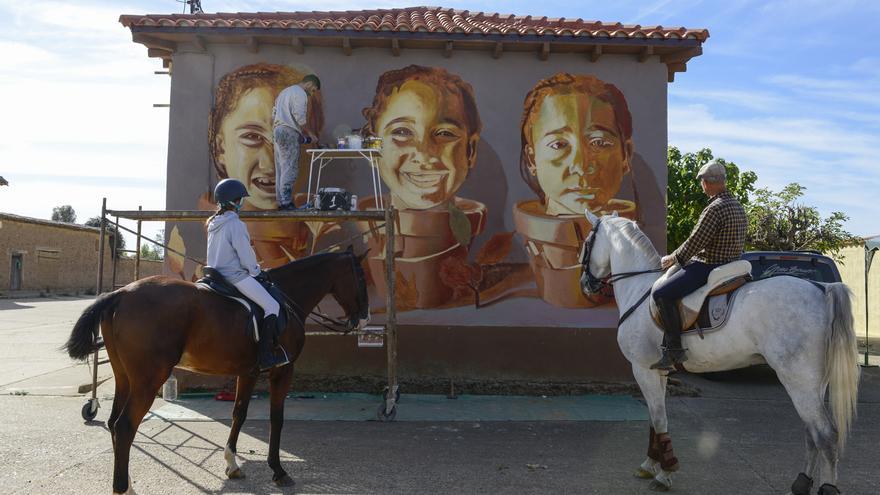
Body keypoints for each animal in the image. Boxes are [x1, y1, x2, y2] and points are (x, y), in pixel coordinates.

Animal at [66, 252, 368, 495]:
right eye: (362, 277)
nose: (362, 316)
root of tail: (121, 294)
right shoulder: (282, 370)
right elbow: (277, 418)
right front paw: (278, 471)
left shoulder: (248, 372)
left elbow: (239, 413)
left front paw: (232, 464)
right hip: (148, 380)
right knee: (125, 426)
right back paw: (123, 489)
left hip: (125, 378)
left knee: (113, 423)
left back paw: (126, 483)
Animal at [580, 211, 864, 494]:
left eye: (586, 243)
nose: (585, 285)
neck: (639, 289)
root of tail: (821, 288)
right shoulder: (657, 372)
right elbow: (655, 418)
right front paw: (650, 464)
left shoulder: (642, 369)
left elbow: (659, 420)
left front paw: (665, 473)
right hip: (815, 384)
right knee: (811, 432)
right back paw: (801, 482)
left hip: (799, 381)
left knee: (825, 434)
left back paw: (826, 487)